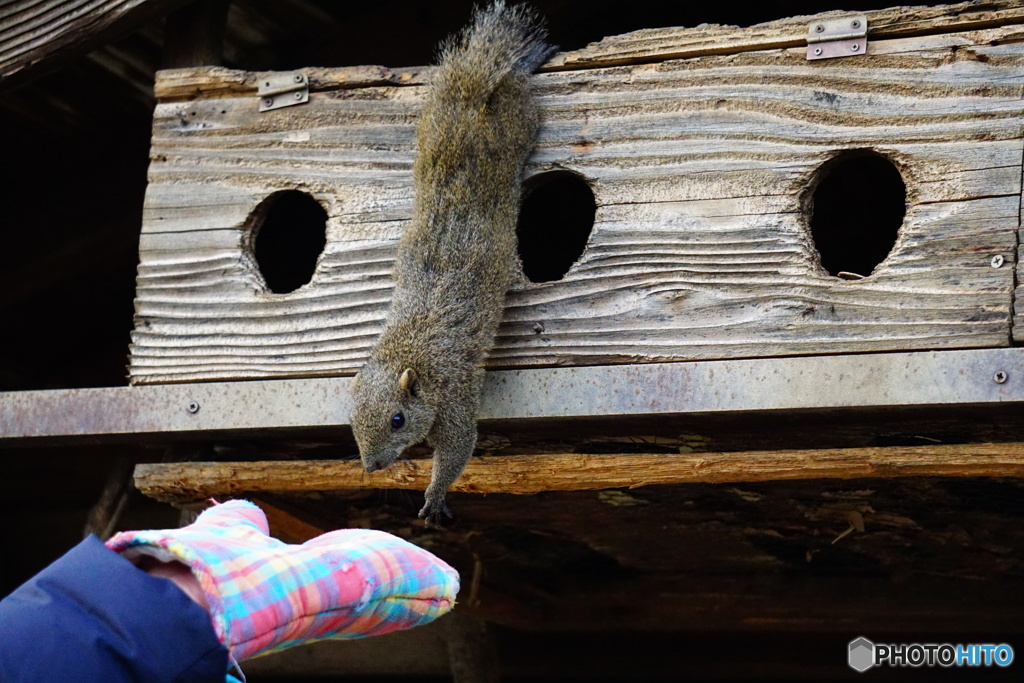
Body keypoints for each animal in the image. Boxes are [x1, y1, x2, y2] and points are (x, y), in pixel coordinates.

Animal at [348, 1, 552, 528]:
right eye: (352, 419)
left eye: (398, 419)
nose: (371, 466)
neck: (407, 353)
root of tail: (471, 88)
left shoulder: (455, 395)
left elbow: (459, 448)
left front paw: (435, 494)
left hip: (516, 122)